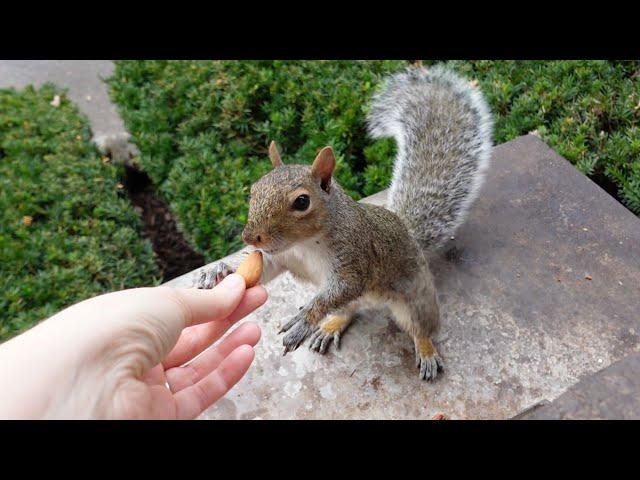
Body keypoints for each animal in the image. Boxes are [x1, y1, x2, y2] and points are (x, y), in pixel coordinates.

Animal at [195, 65, 496, 380]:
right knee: (348, 309)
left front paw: (305, 321)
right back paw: (330, 325)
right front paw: (219, 270)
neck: (305, 243)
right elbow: (262, 268)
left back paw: (425, 350)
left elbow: (342, 288)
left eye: (301, 202)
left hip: (415, 297)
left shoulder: (355, 257)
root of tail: (411, 235)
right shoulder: (282, 256)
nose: (251, 237)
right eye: (254, 189)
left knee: (420, 327)